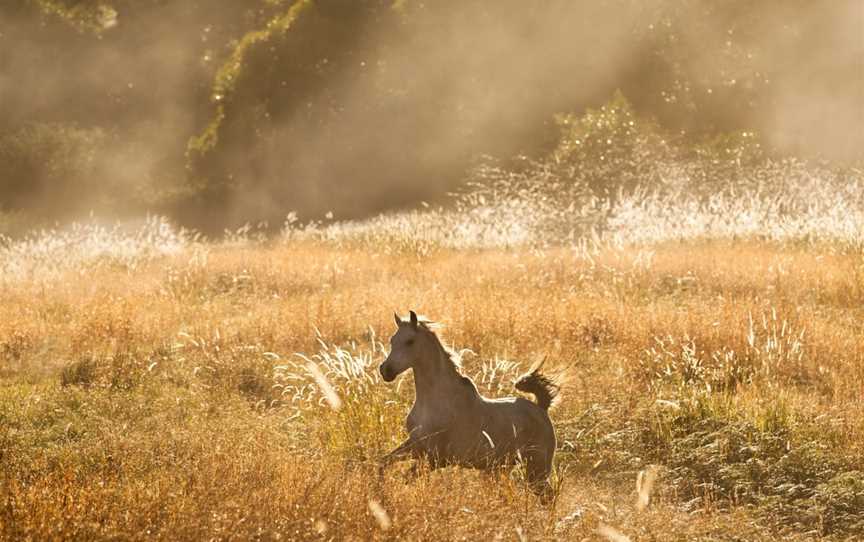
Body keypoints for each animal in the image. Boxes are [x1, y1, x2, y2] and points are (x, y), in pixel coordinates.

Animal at [378, 312, 560, 496]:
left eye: (410, 341)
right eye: (392, 340)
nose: (385, 370)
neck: (435, 400)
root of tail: (541, 409)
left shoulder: (436, 458)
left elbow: (407, 478)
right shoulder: (416, 446)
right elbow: (383, 462)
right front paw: (381, 491)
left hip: (537, 467)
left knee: (548, 496)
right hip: (509, 465)